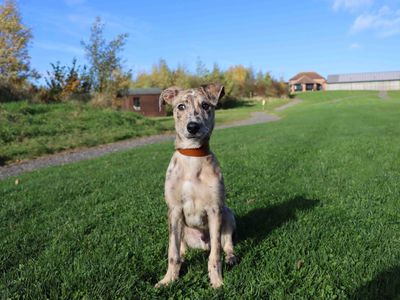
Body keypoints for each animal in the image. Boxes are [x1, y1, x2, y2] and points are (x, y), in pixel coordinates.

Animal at [155, 84, 238, 288]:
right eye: (181, 106)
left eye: (206, 105)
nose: (192, 126)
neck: (192, 157)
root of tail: (203, 243)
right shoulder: (174, 210)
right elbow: (172, 253)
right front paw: (168, 279)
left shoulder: (215, 209)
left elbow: (215, 255)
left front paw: (217, 282)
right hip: (180, 226)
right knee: (181, 247)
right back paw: (184, 256)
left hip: (228, 214)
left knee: (225, 244)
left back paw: (231, 257)